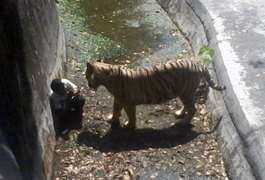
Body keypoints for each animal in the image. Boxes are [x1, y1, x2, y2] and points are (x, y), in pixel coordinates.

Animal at [85, 59, 225, 130]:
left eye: (86, 76)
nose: (88, 85)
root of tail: (198, 64)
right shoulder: (118, 99)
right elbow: (115, 110)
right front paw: (112, 119)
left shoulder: (128, 103)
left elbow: (131, 116)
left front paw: (129, 126)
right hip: (185, 93)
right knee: (189, 106)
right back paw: (179, 113)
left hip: (186, 92)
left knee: (193, 108)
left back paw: (183, 121)